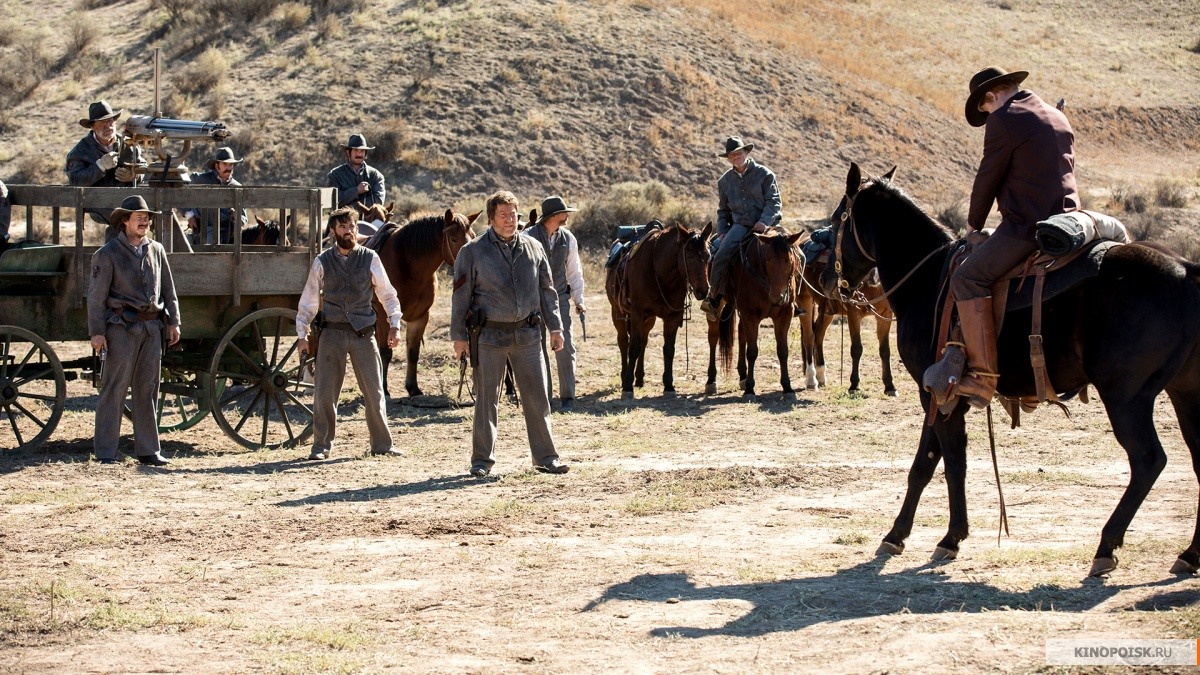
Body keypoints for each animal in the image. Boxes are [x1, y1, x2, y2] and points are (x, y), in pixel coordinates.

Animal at [369, 205, 477, 393]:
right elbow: (385, 352)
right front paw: (384, 388)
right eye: (453, 239)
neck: (409, 268)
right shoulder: (384, 316)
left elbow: (413, 352)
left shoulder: (420, 316)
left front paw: (413, 387)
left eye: (473, 235)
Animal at [609, 220, 710, 398]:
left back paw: (639, 378)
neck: (661, 273)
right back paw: (624, 377)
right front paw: (627, 386)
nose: (703, 290)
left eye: (708, 256)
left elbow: (668, 349)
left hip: (649, 319)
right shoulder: (636, 313)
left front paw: (669, 385)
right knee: (624, 342)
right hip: (618, 313)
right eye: (689, 256)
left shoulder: (673, 316)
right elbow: (633, 348)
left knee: (643, 342)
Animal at [700, 230, 806, 398]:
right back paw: (711, 381)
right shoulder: (750, 315)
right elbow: (752, 351)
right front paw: (750, 388)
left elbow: (782, 351)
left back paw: (742, 377)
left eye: (788, 260)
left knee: (741, 334)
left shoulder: (784, 315)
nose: (777, 297)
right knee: (713, 337)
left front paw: (787, 387)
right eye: (767, 259)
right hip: (719, 307)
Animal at [801, 255, 897, 393]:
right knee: (809, 337)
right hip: (805, 300)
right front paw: (854, 385)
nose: (873, 276)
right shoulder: (854, 313)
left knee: (818, 336)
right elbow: (856, 348)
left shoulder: (886, 314)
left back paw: (821, 375)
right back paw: (811, 379)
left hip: (827, 312)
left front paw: (889, 386)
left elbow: (885, 350)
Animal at [820, 162, 1200, 571]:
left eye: (837, 219)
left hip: (1126, 397)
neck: (926, 278)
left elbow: (948, 463)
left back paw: (1107, 546)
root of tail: (1186, 269)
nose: (829, 280)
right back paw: (1189, 554)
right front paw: (903, 535)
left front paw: (947, 538)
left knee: (1147, 460)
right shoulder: (938, 396)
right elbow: (927, 463)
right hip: (1183, 391)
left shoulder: (937, 393)